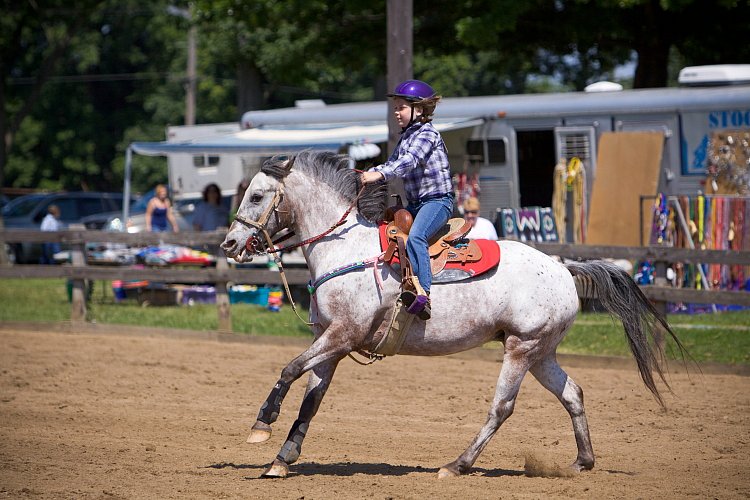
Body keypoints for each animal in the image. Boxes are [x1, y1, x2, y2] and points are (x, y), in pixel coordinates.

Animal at [219, 151, 688, 476]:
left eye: (257, 195)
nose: (229, 244)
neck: (345, 249)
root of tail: (563, 268)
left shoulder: (343, 335)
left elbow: (288, 369)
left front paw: (262, 423)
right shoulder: (331, 342)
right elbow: (311, 398)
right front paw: (282, 459)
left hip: (521, 349)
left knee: (502, 407)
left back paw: (456, 465)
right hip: (541, 353)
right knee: (572, 393)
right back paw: (581, 462)